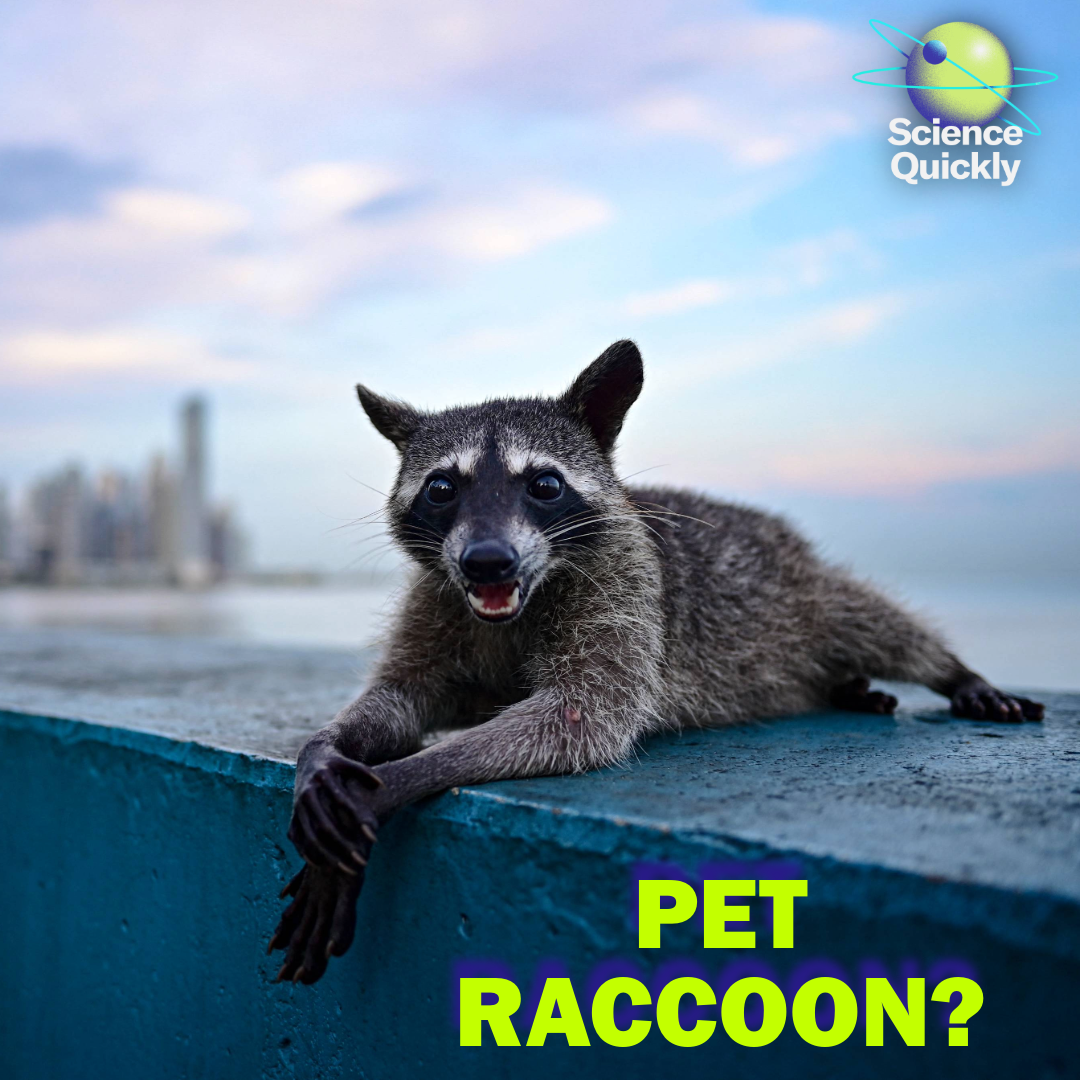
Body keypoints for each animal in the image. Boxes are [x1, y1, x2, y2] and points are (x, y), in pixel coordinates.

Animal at [269, 339, 1044, 983]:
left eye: (543, 485)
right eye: (442, 487)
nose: (487, 560)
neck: (518, 600)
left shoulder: (625, 594)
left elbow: (581, 719)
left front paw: (388, 784)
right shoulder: (438, 601)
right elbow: (402, 697)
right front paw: (325, 754)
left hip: (804, 589)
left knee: (872, 619)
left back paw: (950, 671)